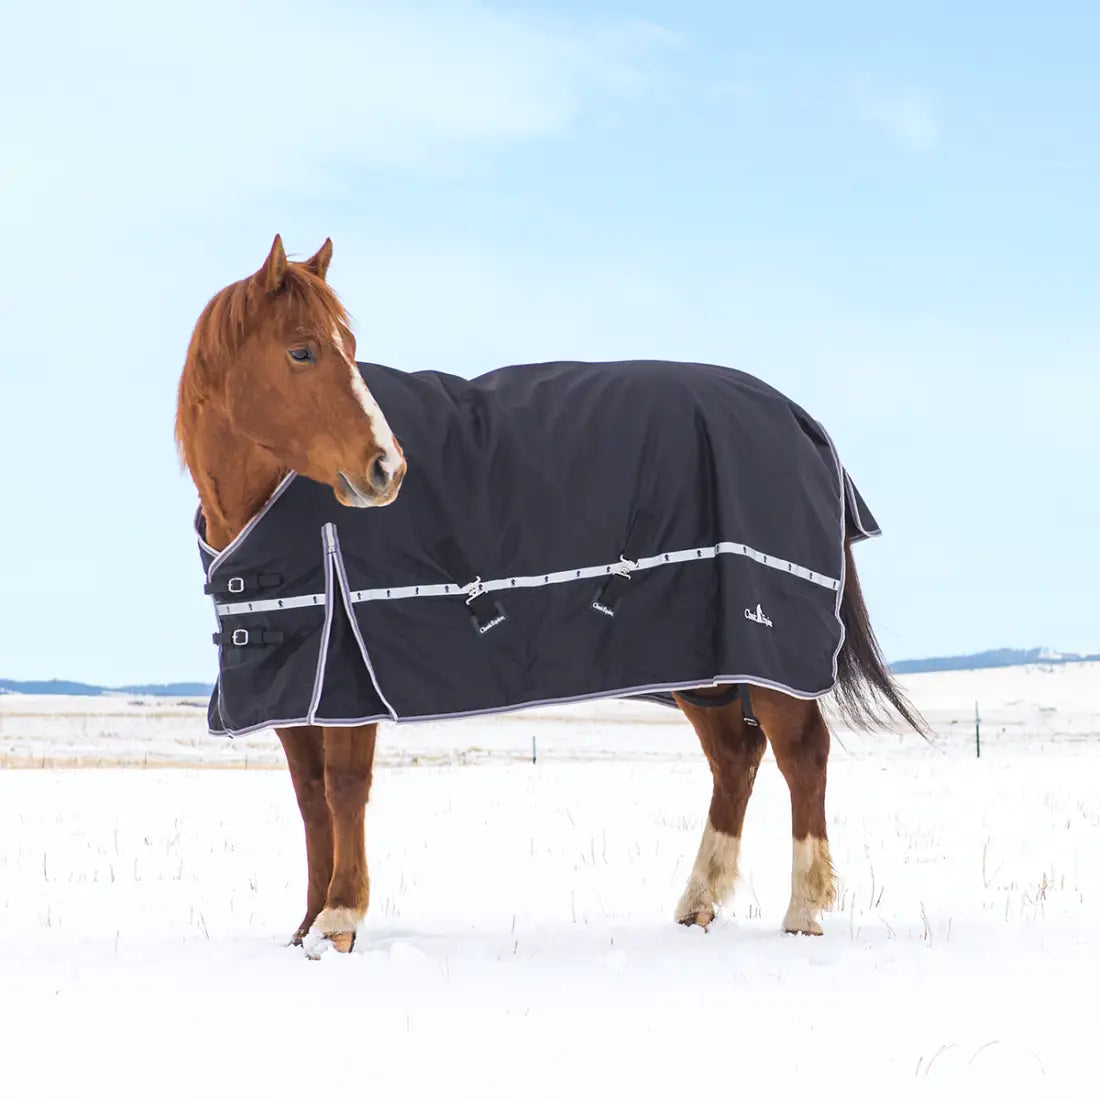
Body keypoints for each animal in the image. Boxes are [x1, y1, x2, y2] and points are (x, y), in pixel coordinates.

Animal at [176, 235, 923, 957]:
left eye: (351, 349)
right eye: (302, 350)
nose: (387, 468)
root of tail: (798, 419)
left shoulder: (347, 672)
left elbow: (343, 791)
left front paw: (338, 920)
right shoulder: (293, 680)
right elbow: (310, 800)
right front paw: (305, 928)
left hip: (764, 646)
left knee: (802, 752)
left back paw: (803, 912)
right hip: (702, 662)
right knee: (735, 756)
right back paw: (699, 903)